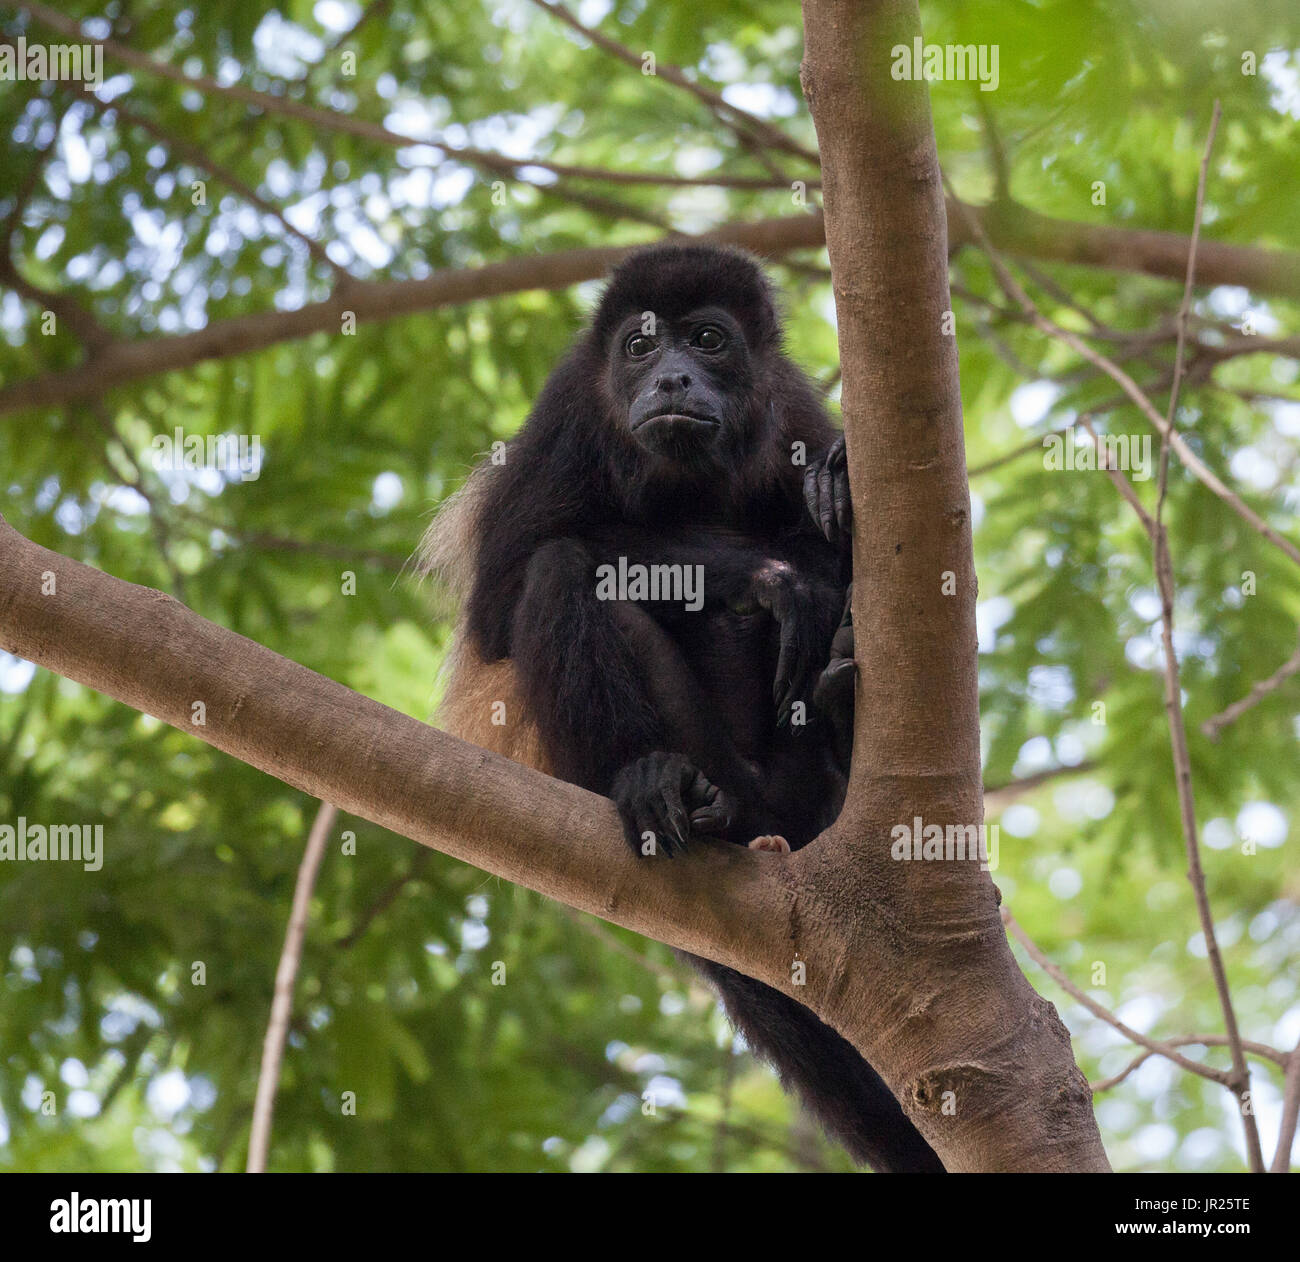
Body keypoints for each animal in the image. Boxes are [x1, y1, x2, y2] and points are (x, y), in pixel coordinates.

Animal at [426, 244, 946, 1174]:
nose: (670, 375)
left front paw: (834, 494)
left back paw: (838, 712)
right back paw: (660, 783)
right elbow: (503, 591)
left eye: (707, 340)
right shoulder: (566, 410)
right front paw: (774, 581)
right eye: (640, 346)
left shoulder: (790, 403)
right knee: (562, 571)